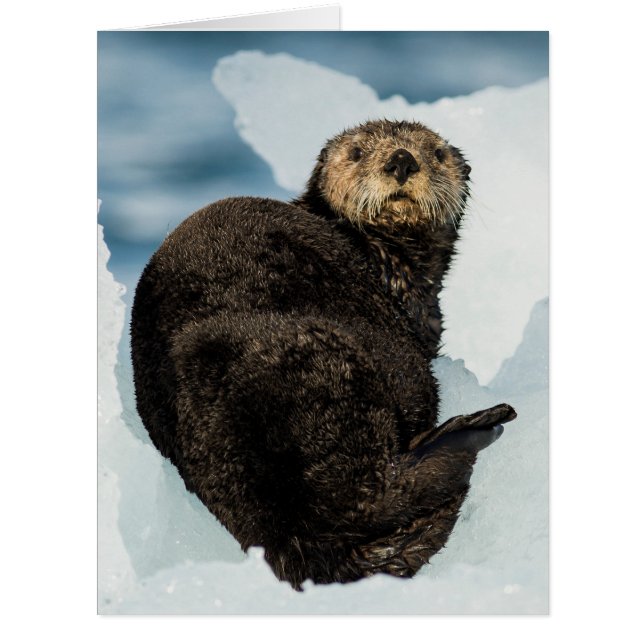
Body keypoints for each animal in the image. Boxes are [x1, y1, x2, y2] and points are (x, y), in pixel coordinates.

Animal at [130, 119, 516, 589]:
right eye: (356, 153)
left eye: (436, 153)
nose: (402, 160)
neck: (387, 262)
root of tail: (287, 535)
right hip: (344, 372)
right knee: (382, 490)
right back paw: (475, 428)